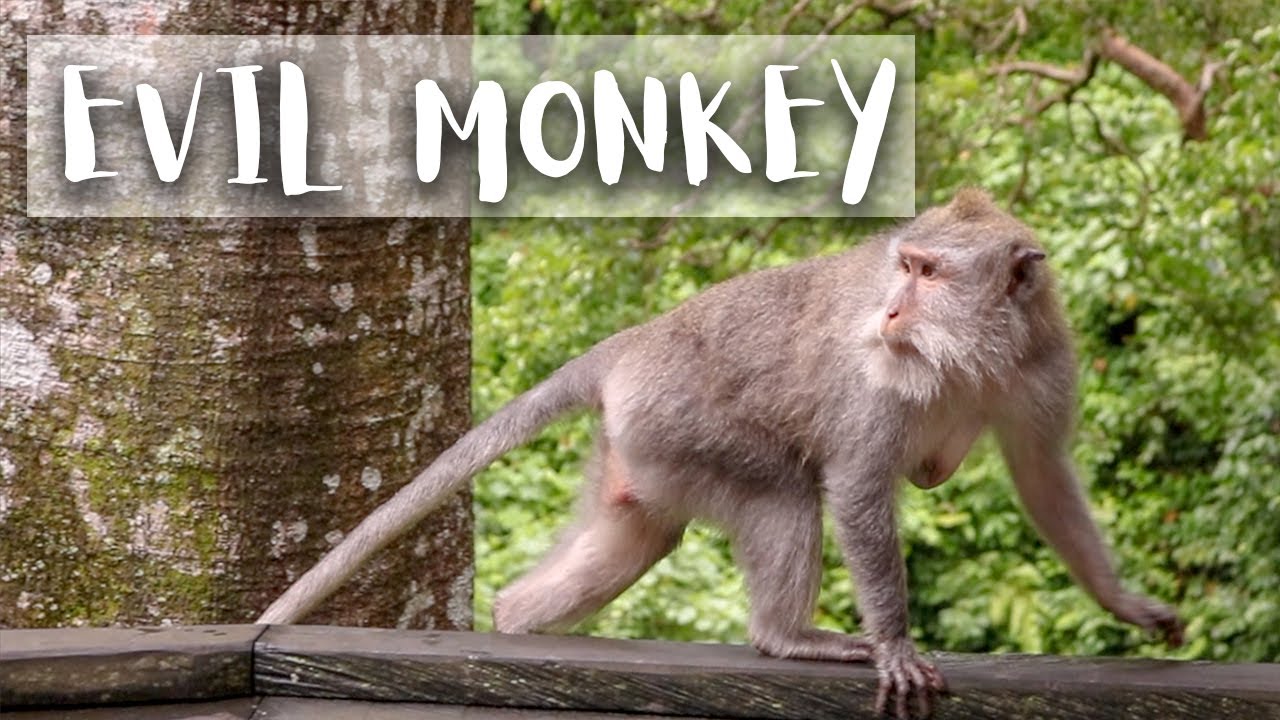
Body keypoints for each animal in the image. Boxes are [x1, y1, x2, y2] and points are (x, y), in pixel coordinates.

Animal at [258, 189, 1182, 718]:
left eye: (928, 274)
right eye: (906, 266)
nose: (889, 312)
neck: (977, 354)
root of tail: (633, 342)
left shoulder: (1043, 365)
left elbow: (1044, 476)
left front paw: (1127, 603)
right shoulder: (877, 383)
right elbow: (855, 485)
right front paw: (893, 643)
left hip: (643, 447)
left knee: (637, 535)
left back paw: (516, 619)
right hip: (687, 424)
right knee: (784, 497)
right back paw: (786, 638)